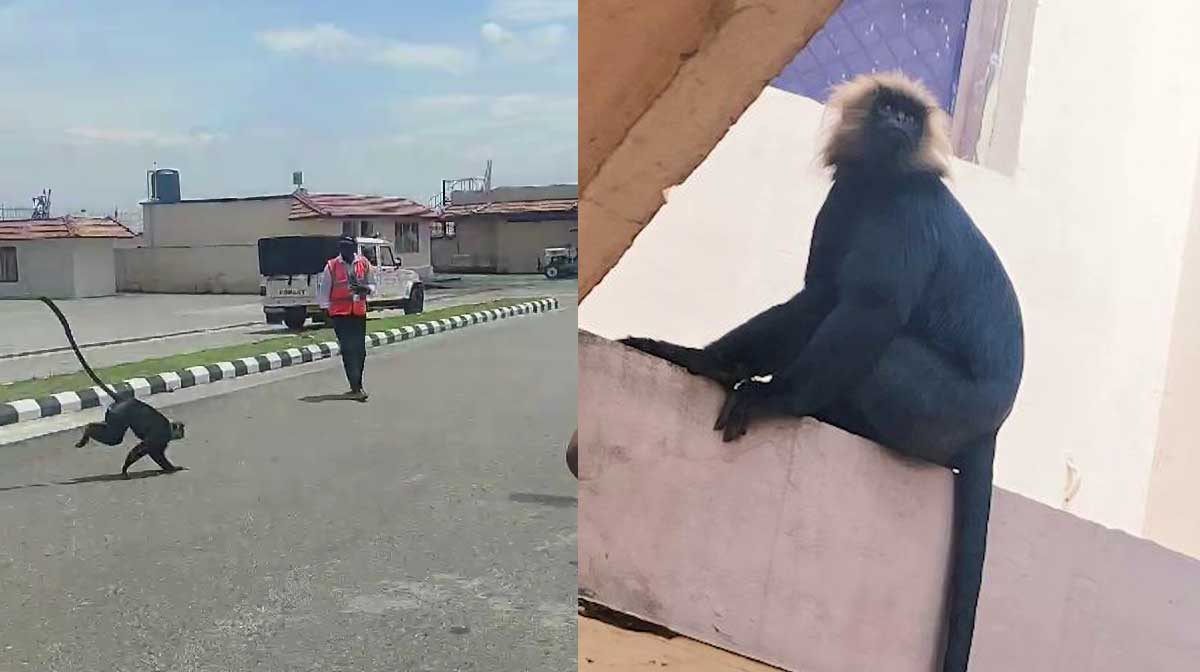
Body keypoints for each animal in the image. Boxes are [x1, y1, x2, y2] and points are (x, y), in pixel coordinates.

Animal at [39, 298, 186, 478]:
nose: (183, 434)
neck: (169, 427)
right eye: (180, 430)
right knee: (114, 438)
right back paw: (88, 429)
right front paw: (169, 468)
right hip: (118, 415)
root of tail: (123, 399)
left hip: (115, 415)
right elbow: (148, 449)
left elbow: (146, 450)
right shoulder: (160, 436)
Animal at [619, 72, 1023, 672]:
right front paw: (699, 360)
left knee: (885, 349)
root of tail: (991, 426)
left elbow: (869, 308)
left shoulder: (907, 207)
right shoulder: (845, 197)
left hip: (942, 407)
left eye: (910, 116)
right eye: (888, 107)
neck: (877, 183)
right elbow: (818, 299)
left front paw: (775, 399)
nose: (898, 123)